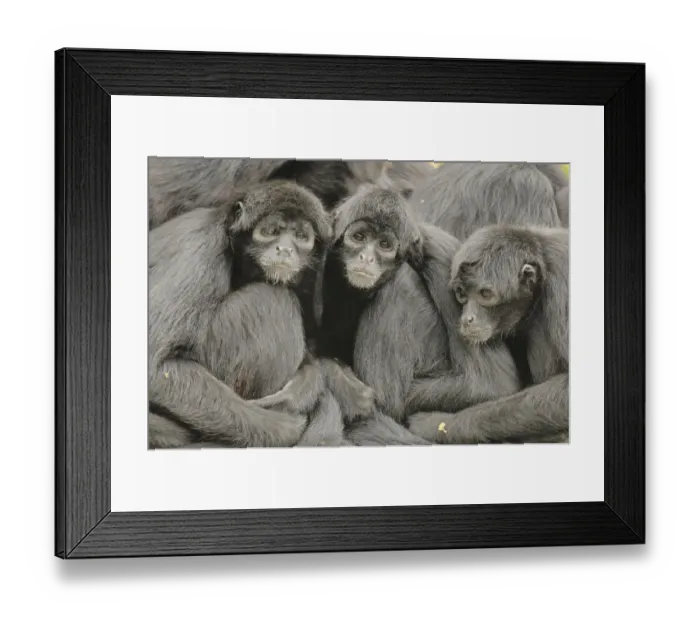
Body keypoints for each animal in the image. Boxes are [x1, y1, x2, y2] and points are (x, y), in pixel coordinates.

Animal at [148, 180, 348, 448]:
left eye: (300, 236)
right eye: (271, 230)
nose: (285, 249)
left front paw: (303, 389)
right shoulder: (201, 248)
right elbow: (156, 368)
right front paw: (285, 427)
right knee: (273, 298)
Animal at [408, 225, 569, 444]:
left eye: (485, 294)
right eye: (461, 293)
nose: (468, 318)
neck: (544, 264)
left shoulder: (563, 283)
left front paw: (436, 424)